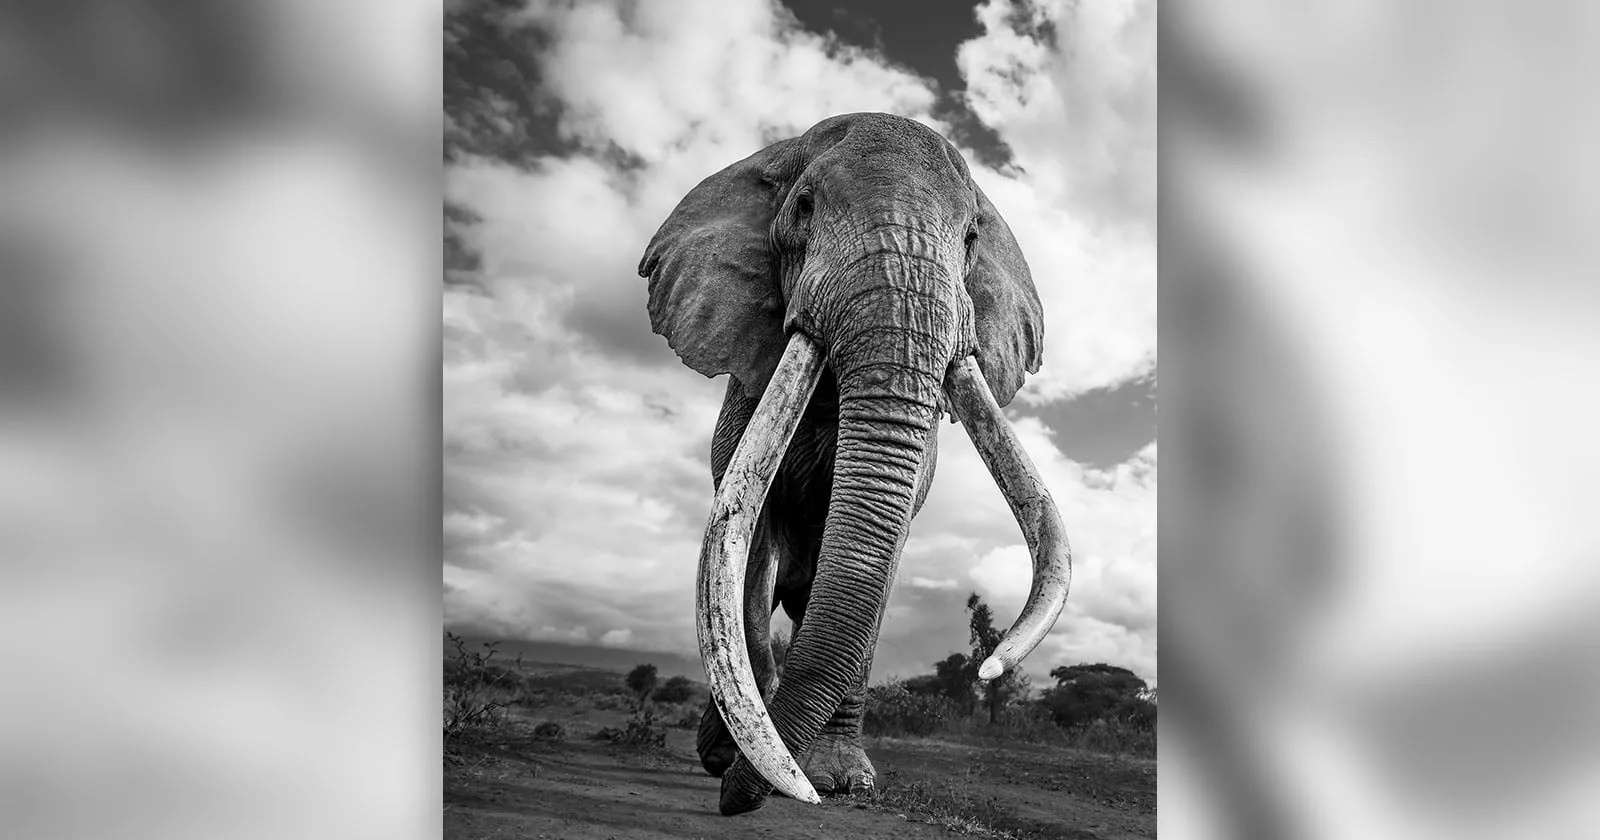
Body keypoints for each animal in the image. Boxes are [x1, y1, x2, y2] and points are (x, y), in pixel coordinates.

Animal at [638, 112, 1072, 816]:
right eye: (805, 208)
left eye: (972, 237)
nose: (735, 800)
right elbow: (746, 557)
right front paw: (751, 763)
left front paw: (843, 783)